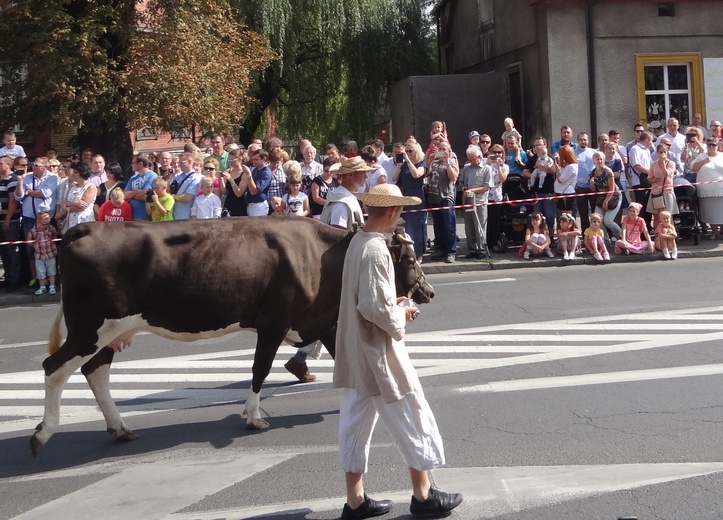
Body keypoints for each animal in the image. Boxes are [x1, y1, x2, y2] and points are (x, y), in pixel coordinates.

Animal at [31, 215, 432, 456]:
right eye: (411, 261)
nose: (428, 292)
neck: (323, 255)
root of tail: (86, 228)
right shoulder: (274, 322)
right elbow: (259, 370)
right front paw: (253, 417)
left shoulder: (322, 322)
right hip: (90, 328)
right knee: (55, 367)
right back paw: (42, 434)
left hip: (107, 332)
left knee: (94, 371)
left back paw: (119, 428)